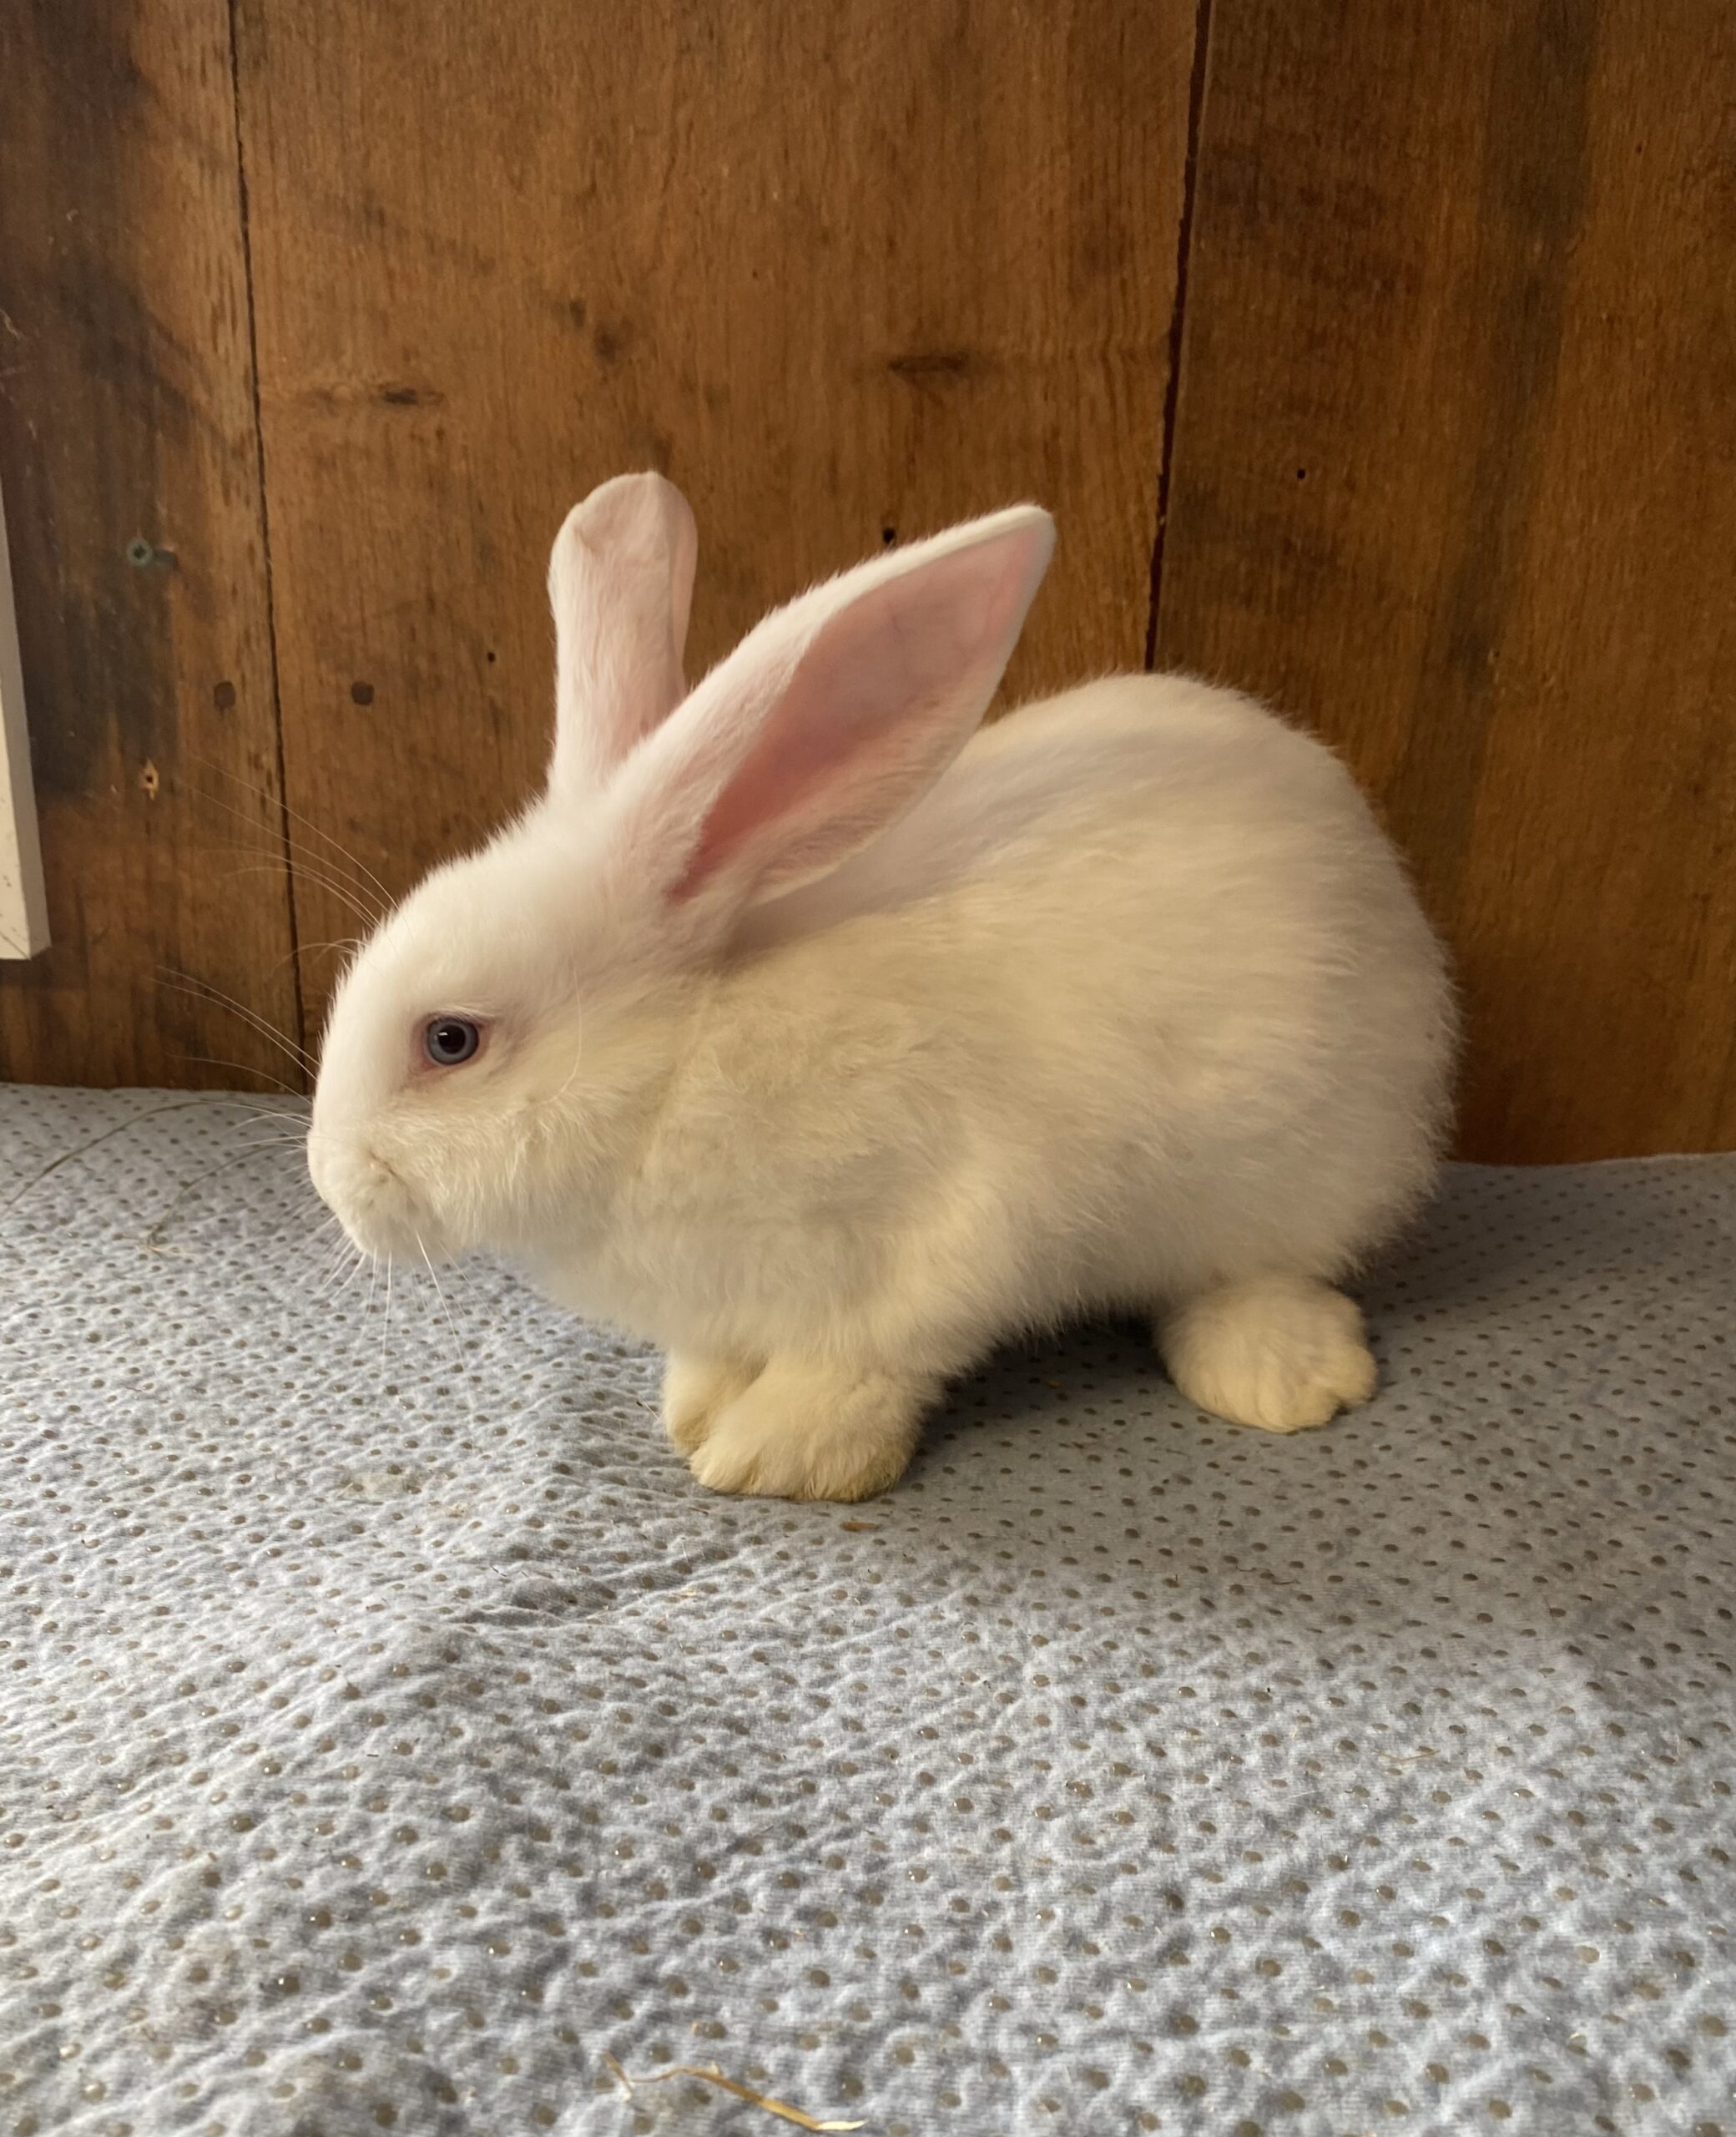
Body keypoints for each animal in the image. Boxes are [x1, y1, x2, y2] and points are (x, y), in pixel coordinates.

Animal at [307, 472, 1453, 1504]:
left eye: (450, 1040)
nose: (329, 1183)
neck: (672, 1074)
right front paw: (692, 1414)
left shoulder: (939, 1235)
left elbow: (861, 1363)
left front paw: (772, 1456)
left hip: (1297, 1167)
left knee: (1256, 1270)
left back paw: (1284, 1378)